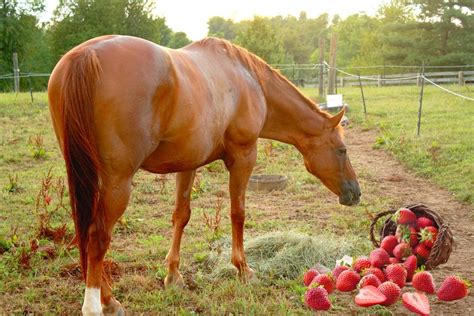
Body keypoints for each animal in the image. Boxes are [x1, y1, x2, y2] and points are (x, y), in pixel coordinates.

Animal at [47, 35, 360, 314]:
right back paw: (101, 304)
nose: (355, 193)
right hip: (117, 183)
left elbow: (180, 216)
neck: (249, 80)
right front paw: (243, 269)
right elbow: (238, 213)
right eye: (342, 149)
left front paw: (173, 276)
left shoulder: (187, 165)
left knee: (86, 231)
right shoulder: (243, 157)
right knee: (98, 235)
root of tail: (87, 56)